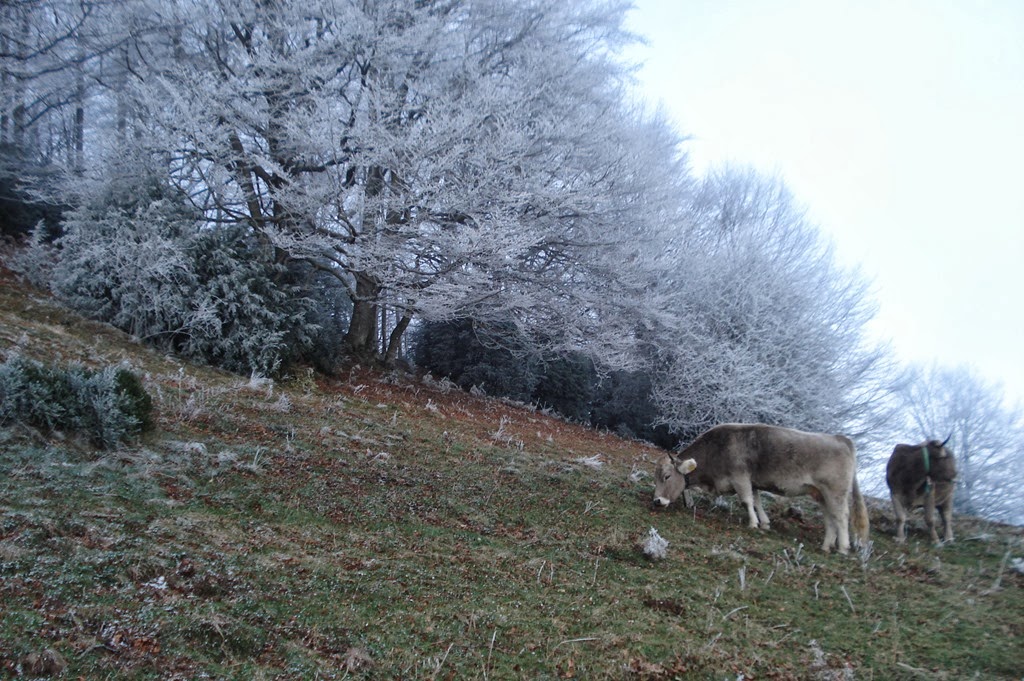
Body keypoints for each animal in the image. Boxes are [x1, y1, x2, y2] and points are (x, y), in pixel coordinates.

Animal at [651, 426, 868, 552]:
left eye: (667, 476)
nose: (657, 501)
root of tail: (842, 439)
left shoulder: (740, 477)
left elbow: (746, 501)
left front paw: (753, 523)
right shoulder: (752, 482)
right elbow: (757, 501)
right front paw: (764, 523)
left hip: (835, 492)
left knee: (841, 516)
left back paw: (843, 547)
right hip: (821, 494)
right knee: (829, 517)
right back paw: (826, 545)